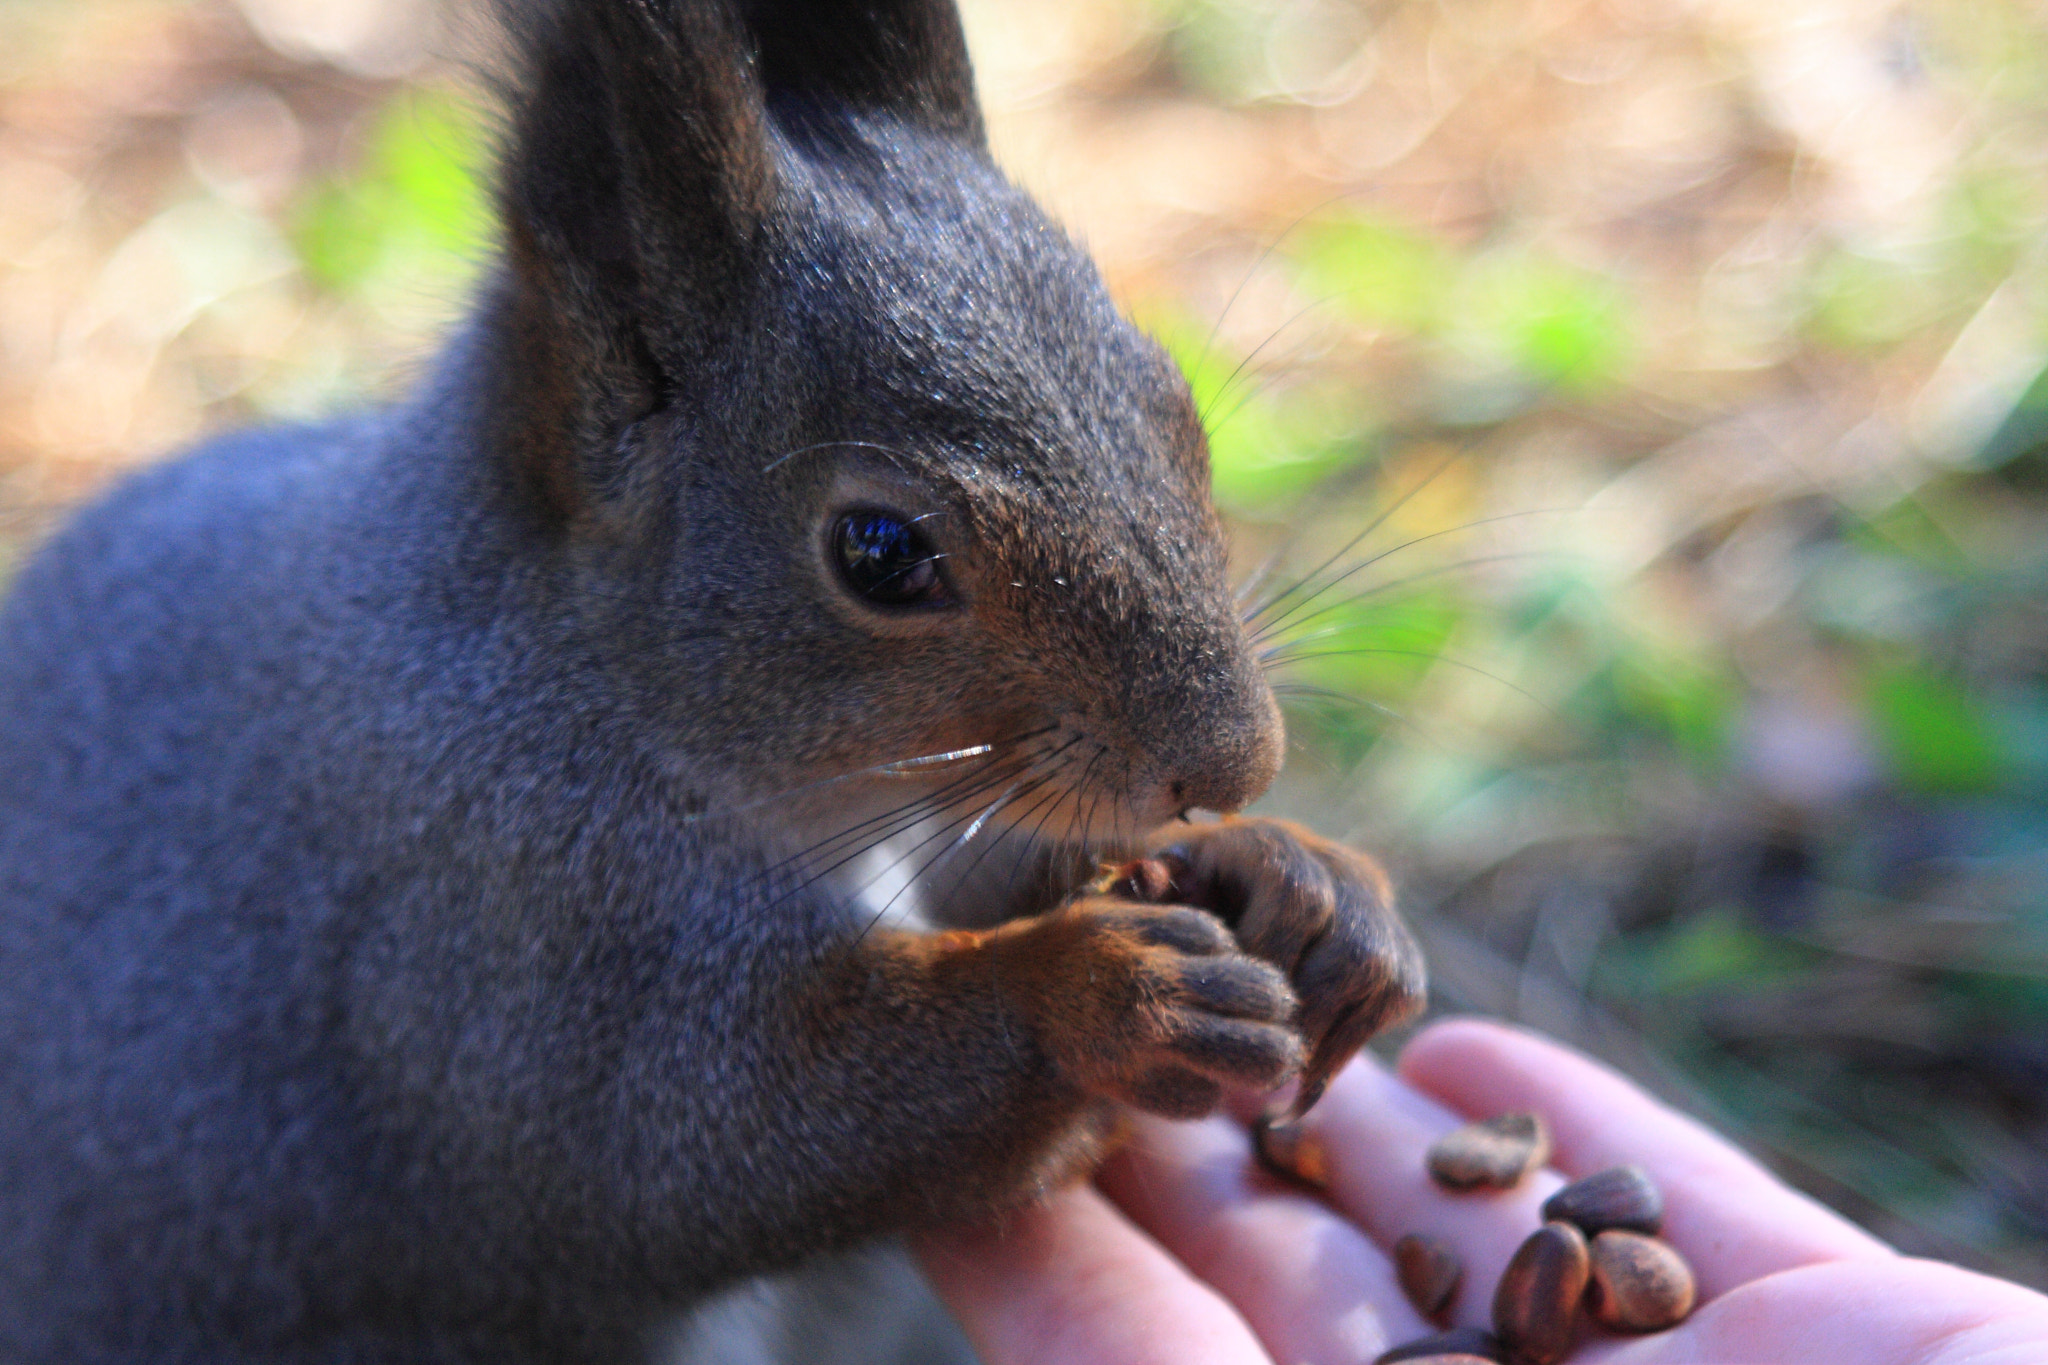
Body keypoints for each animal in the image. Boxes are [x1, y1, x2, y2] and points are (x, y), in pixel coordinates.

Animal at [0, 1, 1427, 1361]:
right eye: (878, 552)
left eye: (1170, 398)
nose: (1233, 761)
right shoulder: (475, 922)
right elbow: (680, 1143)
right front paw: (1106, 996)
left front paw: (1299, 881)